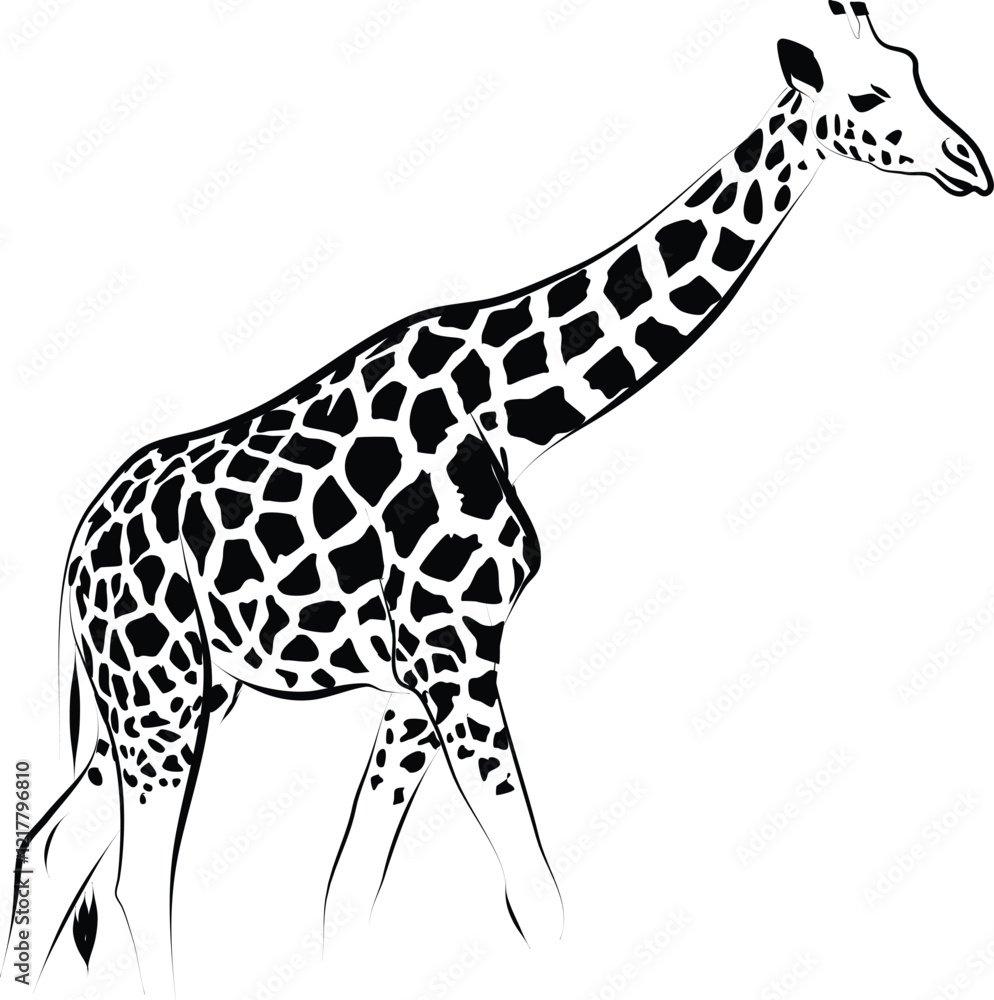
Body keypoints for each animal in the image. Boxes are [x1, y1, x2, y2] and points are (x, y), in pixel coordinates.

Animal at [5, 2, 991, 994]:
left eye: (915, 66)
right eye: (867, 96)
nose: (970, 163)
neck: (510, 409)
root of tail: (76, 549)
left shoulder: (412, 681)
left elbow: (351, 891)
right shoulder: (453, 652)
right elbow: (535, 895)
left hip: (168, 696)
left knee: (57, 845)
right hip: (157, 689)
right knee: (132, 880)